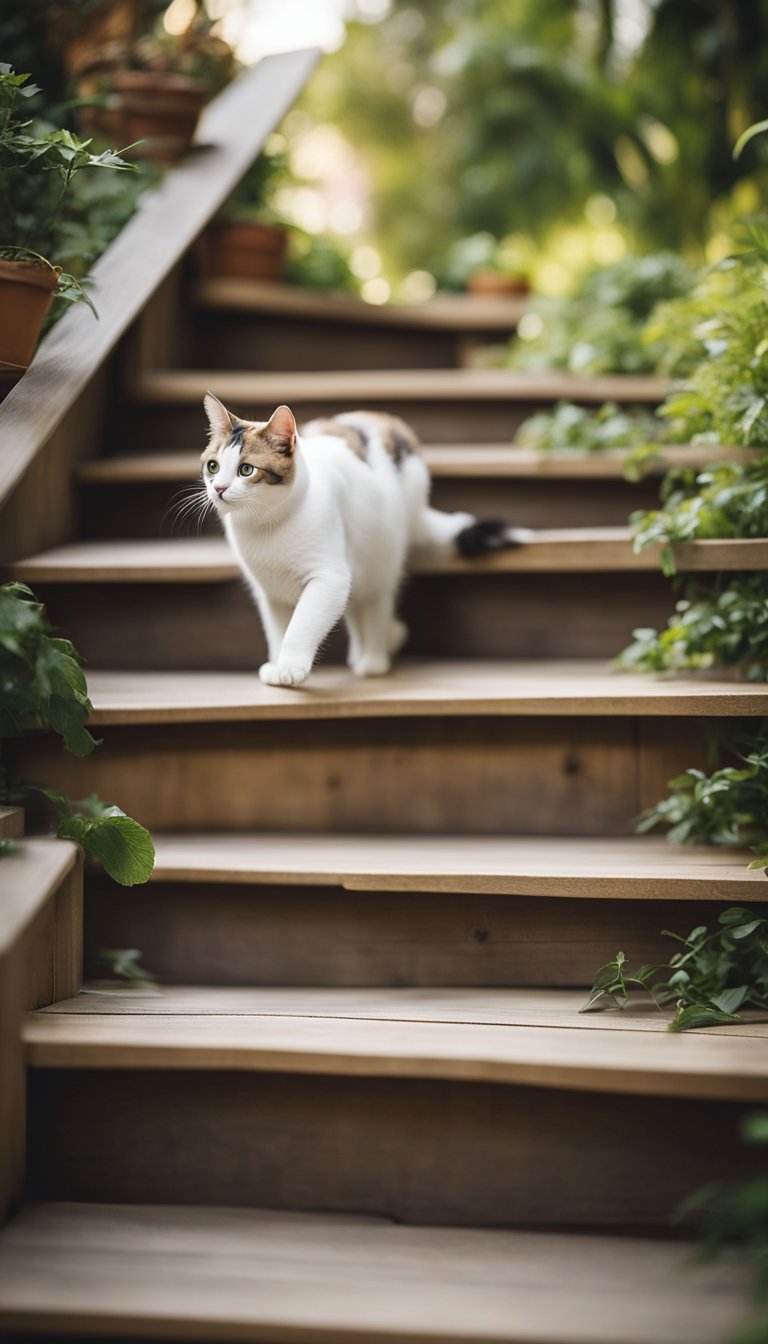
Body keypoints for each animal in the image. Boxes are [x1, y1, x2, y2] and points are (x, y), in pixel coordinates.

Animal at [201, 389, 532, 682]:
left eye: (246, 470)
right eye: (212, 466)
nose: (218, 488)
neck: (264, 525)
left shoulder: (329, 578)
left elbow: (301, 625)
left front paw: (290, 667)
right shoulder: (270, 592)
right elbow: (277, 630)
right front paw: (276, 663)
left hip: (382, 552)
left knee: (376, 602)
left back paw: (374, 660)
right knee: (356, 602)